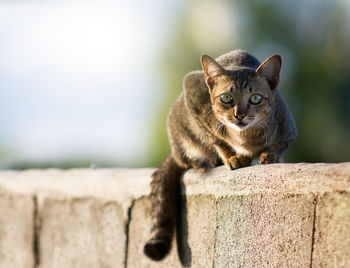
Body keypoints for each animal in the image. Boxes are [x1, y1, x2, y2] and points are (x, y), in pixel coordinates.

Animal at [144, 49, 296, 260]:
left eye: (256, 98)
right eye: (226, 98)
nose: (239, 115)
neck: (247, 138)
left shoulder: (288, 128)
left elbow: (279, 145)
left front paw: (271, 155)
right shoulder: (192, 91)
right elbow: (216, 138)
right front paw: (232, 157)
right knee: (186, 159)